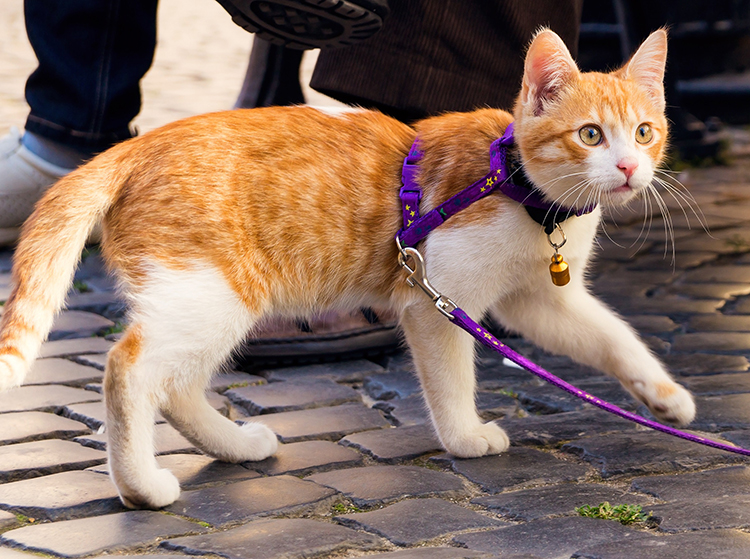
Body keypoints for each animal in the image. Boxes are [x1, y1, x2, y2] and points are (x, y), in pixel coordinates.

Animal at [0, 30, 696, 512]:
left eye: (644, 132)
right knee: (128, 370)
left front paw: (666, 396)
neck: (525, 191)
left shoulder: (537, 300)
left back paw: (235, 447)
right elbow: (451, 380)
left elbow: (611, 337)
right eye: (589, 135)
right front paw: (465, 437)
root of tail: (135, 145)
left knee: (174, 385)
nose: (629, 169)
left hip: (210, 300)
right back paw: (142, 486)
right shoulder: (436, 298)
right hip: (210, 292)